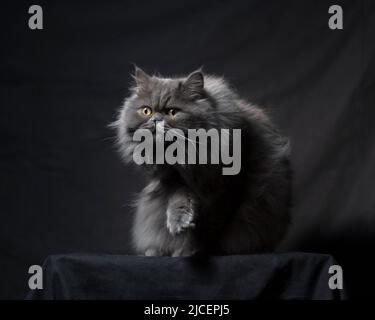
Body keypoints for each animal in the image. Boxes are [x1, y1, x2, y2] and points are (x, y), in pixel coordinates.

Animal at [113, 67, 292, 258]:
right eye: (146, 111)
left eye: (172, 112)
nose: (155, 119)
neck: (186, 156)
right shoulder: (174, 179)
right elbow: (179, 201)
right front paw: (180, 227)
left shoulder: (229, 188)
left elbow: (211, 227)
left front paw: (194, 251)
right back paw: (154, 251)